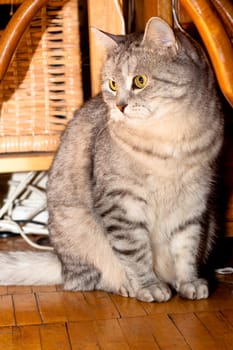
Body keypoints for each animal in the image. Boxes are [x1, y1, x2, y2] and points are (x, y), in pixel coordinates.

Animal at [0, 17, 224, 300]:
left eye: (140, 80)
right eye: (113, 84)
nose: (120, 106)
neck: (172, 140)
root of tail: (61, 265)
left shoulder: (194, 203)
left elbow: (187, 249)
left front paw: (189, 282)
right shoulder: (121, 202)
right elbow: (135, 254)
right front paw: (149, 287)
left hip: (212, 223)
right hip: (79, 232)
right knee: (88, 280)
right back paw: (126, 287)